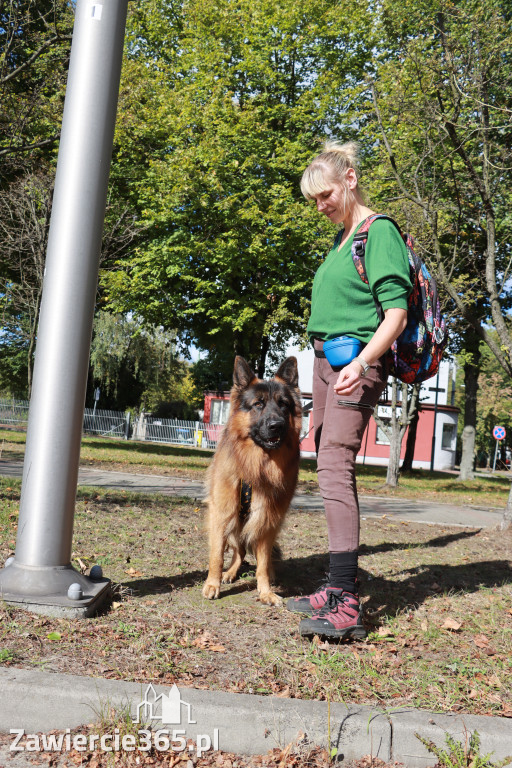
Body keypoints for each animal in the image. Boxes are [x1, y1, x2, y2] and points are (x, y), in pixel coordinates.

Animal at [202, 356, 302, 608]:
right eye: (258, 404)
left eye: (283, 404)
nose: (277, 425)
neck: (256, 467)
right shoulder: (221, 515)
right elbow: (217, 556)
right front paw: (212, 584)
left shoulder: (266, 520)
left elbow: (263, 564)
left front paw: (265, 592)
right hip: (233, 526)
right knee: (238, 552)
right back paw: (229, 573)